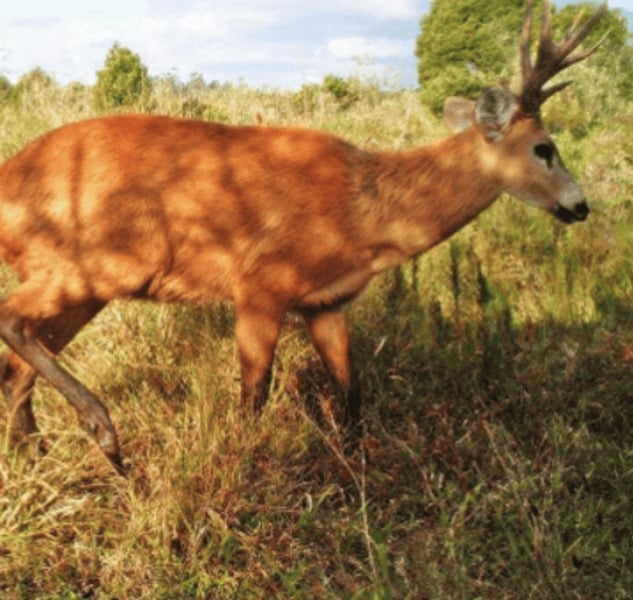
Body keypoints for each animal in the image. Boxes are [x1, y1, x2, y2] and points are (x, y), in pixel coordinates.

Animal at [0, 0, 604, 474]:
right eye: (544, 148)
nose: (580, 205)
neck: (364, 212)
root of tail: (8, 178)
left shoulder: (326, 302)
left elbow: (351, 390)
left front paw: (358, 464)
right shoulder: (260, 285)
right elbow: (253, 396)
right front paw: (244, 468)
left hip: (85, 282)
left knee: (17, 365)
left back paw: (34, 454)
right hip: (102, 262)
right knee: (11, 320)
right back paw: (103, 433)